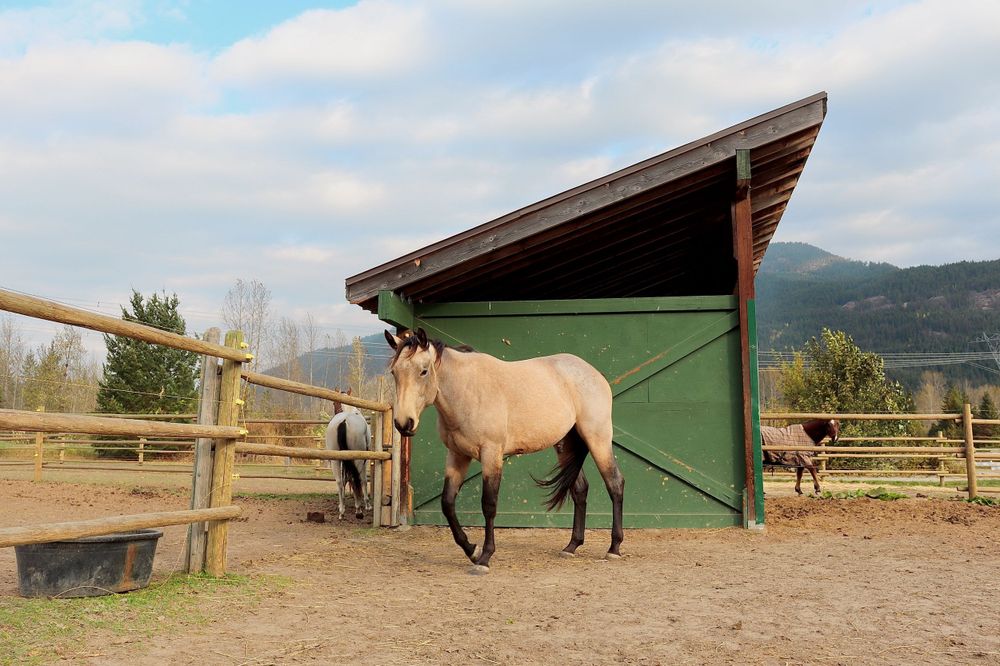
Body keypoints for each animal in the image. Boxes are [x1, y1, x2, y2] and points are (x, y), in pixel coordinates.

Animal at [325, 388, 372, 520]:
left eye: (333, 402)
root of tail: (344, 421)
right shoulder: (364, 459)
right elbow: (363, 480)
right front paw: (367, 504)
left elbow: (345, 479)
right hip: (357, 459)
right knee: (356, 479)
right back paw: (358, 509)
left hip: (335, 460)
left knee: (340, 481)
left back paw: (342, 511)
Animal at [385, 327, 625, 574]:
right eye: (394, 372)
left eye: (423, 371)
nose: (404, 423)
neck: (468, 390)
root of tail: (594, 373)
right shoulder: (457, 456)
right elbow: (447, 503)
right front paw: (472, 550)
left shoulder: (491, 455)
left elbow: (489, 505)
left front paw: (485, 558)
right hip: (565, 445)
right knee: (580, 490)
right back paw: (572, 546)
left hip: (598, 439)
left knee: (615, 483)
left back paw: (614, 548)